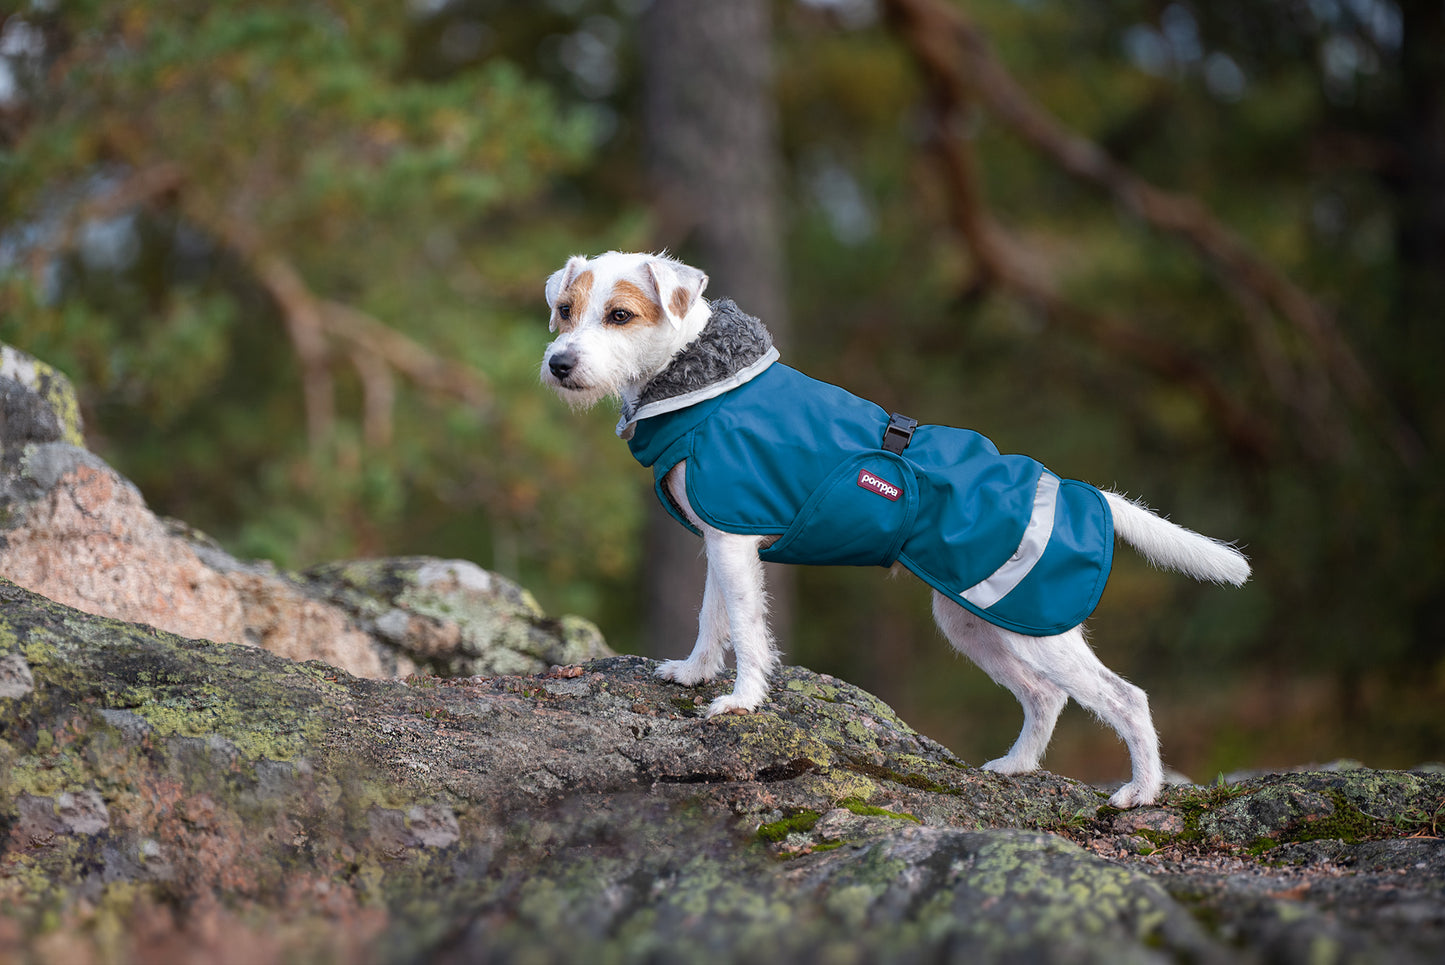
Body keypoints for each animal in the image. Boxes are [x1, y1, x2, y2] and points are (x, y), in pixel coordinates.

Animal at [537, 248, 1248, 808]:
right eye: (566, 309)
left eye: (620, 315)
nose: (559, 364)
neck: (698, 378)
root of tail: (1081, 492)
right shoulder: (720, 535)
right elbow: (713, 617)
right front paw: (694, 672)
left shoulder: (734, 539)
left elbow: (745, 626)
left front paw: (743, 700)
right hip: (974, 621)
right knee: (1045, 697)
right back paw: (1016, 767)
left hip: (1038, 626)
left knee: (1126, 698)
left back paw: (1141, 792)